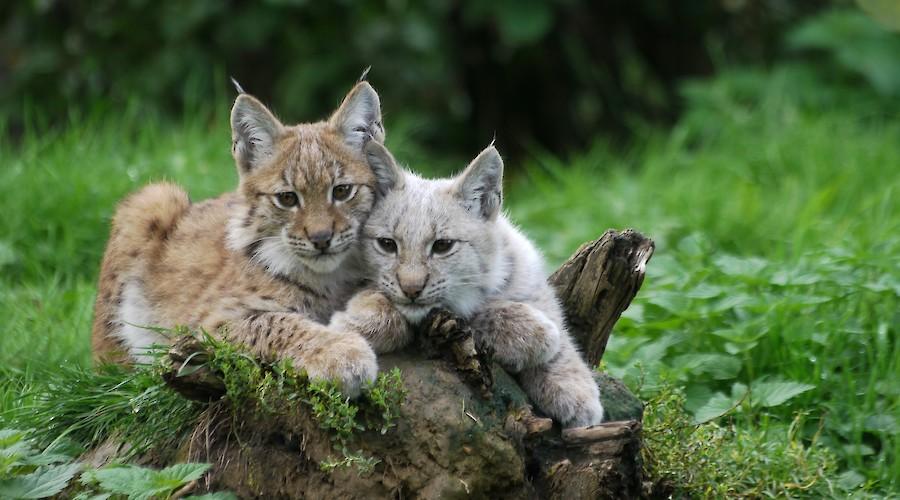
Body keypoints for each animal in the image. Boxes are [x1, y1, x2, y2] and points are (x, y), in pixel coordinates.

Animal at [90, 81, 394, 394]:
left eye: (342, 191)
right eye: (287, 198)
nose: (321, 238)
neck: (331, 277)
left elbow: (389, 302)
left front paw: (359, 318)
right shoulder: (211, 322)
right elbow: (277, 323)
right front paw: (342, 353)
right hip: (154, 197)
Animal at [334, 142, 608, 430]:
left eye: (443, 246)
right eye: (387, 245)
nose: (411, 289)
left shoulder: (528, 270)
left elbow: (556, 325)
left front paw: (574, 388)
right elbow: (470, 314)